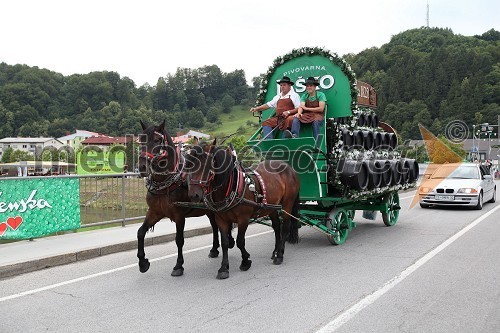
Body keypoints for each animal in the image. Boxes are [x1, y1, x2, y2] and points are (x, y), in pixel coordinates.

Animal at [135, 120, 232, 276]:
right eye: (141, 140)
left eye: (156, 140)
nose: (142, 167)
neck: (166, 181)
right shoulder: (154, 212)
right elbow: (140, 232)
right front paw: (143, 262)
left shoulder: (179, 215)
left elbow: (179, 240)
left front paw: (178, 265)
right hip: (210, 210)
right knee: (214, 226)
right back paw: (214, 249)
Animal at [185, 139, 298, 278]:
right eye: (188, 164)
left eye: (205, 166)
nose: (193, 195)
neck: (232, 185)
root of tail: (288, 167)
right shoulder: (221, 219)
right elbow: (225, 242)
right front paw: (224, 268)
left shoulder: (243, 219)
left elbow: (240, 241)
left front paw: (245, 261)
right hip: (271, 207)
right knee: (276, 226)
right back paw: (275, 251)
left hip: (287, 204)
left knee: (285, 227)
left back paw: (280, 255)